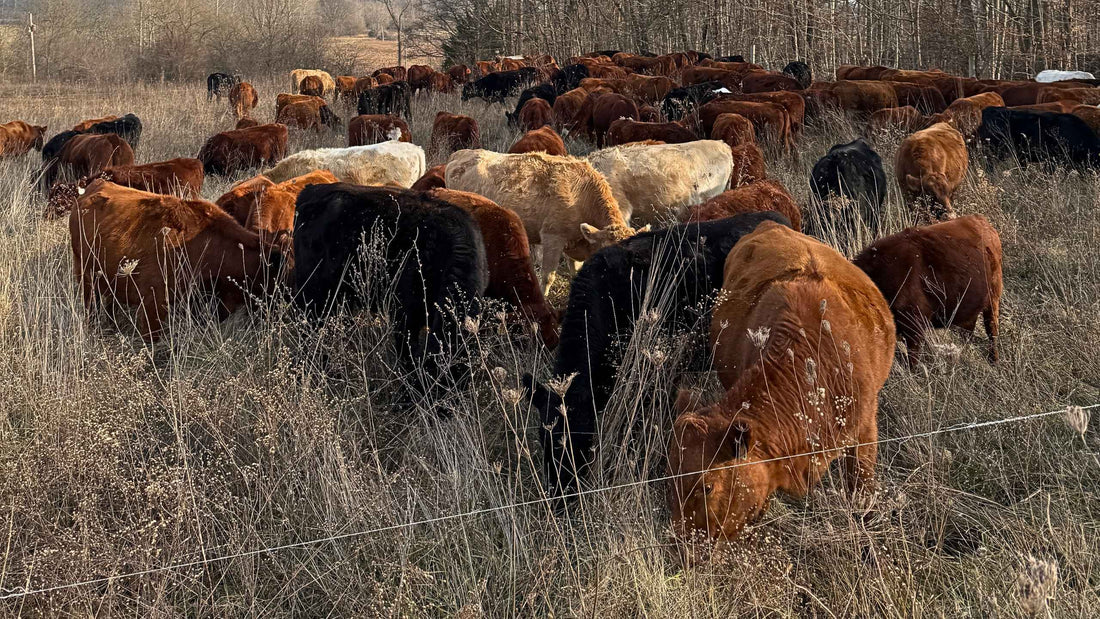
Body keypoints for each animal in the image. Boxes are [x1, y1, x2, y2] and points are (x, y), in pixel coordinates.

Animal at [854, 215, 1002, 367]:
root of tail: (981, 220)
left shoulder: (914, 327)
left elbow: (912, 363)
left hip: (993, 299)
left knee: (992, 330)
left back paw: (994, 361)